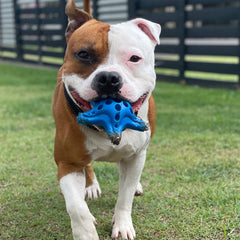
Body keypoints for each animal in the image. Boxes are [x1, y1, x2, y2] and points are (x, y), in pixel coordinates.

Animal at [52, 0, 161, 239]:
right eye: (83, 54)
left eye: (134, 58)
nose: (109, 78)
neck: (106, 128)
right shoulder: (67, 163)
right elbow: (76, 207)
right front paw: (86, 233)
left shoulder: (135, 156)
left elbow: (125, 196)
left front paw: (122, 224)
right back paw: (90, 186)